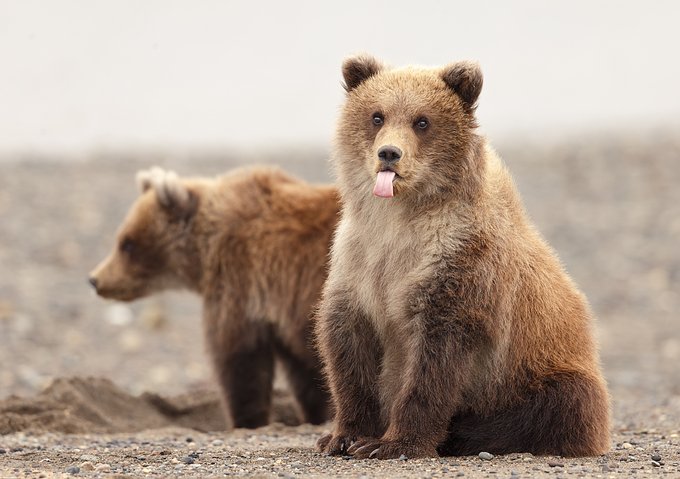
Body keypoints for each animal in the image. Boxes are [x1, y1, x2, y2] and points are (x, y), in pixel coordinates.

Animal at [89, 165, 339, 428]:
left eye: (127, 243)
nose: (95, 279)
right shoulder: (284, 315)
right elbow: (304, 371)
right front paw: (316, 415)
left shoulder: (241, 284)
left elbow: (239, 359)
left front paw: (248, 420)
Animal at [315, 55, 611, 459]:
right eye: (377, 115)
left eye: (422, 121)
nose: (389, 153)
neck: (400, 218)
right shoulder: (359, 259)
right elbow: (348, 344)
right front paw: (342, 436)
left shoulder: (459, 263)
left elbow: (436, 359)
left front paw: (392, 443)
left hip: (543, 370)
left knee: (556, 405)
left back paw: (464, 433)